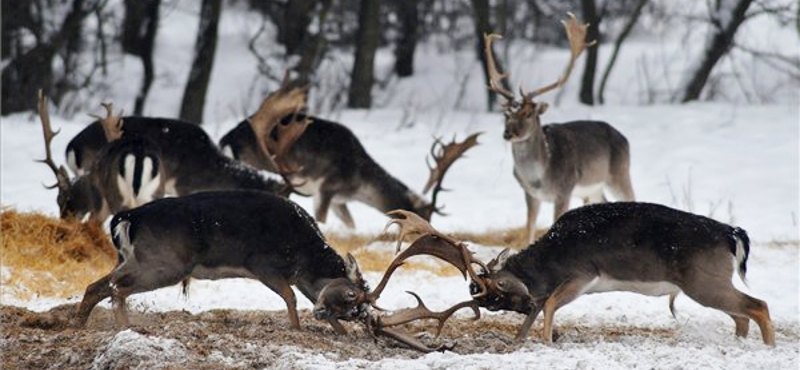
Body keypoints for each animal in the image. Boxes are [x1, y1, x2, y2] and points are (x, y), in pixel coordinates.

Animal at [37, 90, 164, 223]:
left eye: (60, 199)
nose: (64, 220)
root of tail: (139, 153)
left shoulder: (100, 204)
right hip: (152, 195)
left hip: (117, 198)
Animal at [382, 202, 776, 346]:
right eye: (495, 305)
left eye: (500, 294)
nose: (522, 305)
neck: (550, 259)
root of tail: (731, 234)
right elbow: (544, 305)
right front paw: (521, 340)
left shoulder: (582, 274)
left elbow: (550, 302)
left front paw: (545, 340)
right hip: (710, 283)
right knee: (742, 313)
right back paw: (741, 344)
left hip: (703, 282)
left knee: (759, 305)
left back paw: (766, 348)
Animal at [484, 13, 636, 243]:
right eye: (506, 115)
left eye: (528, 113)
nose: (508, 133)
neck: (539, 178)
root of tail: (623, 137)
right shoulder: (529, 194)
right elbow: (529, 229)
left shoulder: (565, 189)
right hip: (593, 189)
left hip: (619, 172)